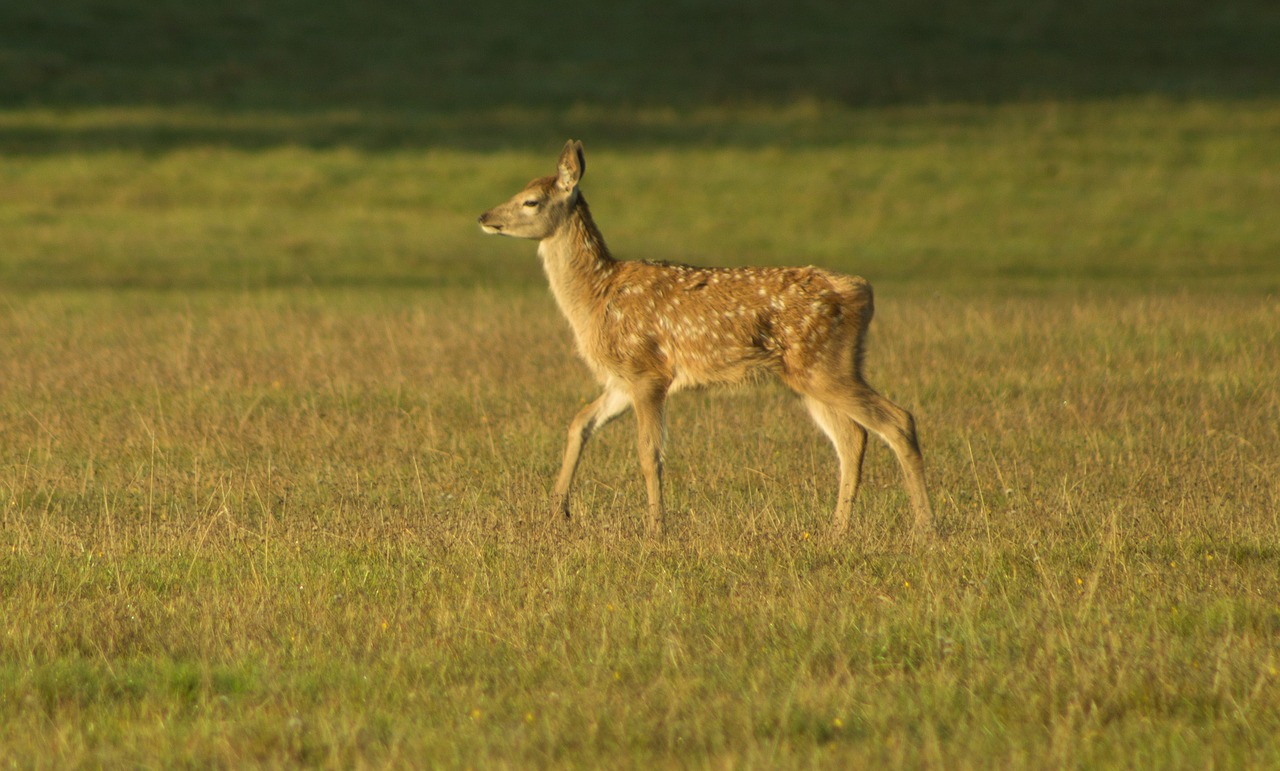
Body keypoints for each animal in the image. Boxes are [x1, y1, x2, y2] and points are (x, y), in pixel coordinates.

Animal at [476, 139, 936, 540]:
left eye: (530, 201)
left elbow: (648, 452)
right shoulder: (621, 380)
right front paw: (558, 513)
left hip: (825, 365)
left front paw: (656, 529)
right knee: (852, 438)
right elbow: (579, 423)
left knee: (897, 421)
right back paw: (837, 530)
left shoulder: (647, 370)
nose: (484, 216)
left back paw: (925, 527)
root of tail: (862, 290)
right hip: (814, 375)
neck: (596, 296)